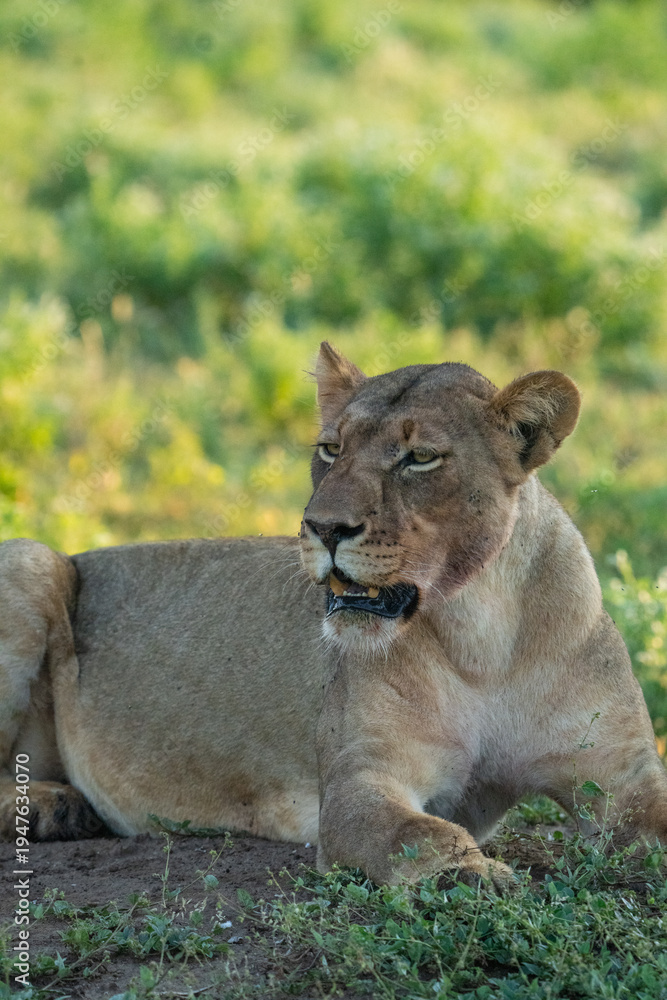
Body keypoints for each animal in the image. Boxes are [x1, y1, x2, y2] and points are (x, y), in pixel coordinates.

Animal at [1, 342, 666, 888]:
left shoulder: (623, 774)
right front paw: (476, 878)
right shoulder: (359, 781)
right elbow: (420, 835)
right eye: (331, 448)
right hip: (32, 559)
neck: (483, 636)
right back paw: (53, 808)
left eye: (419, 458)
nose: (323, 528)